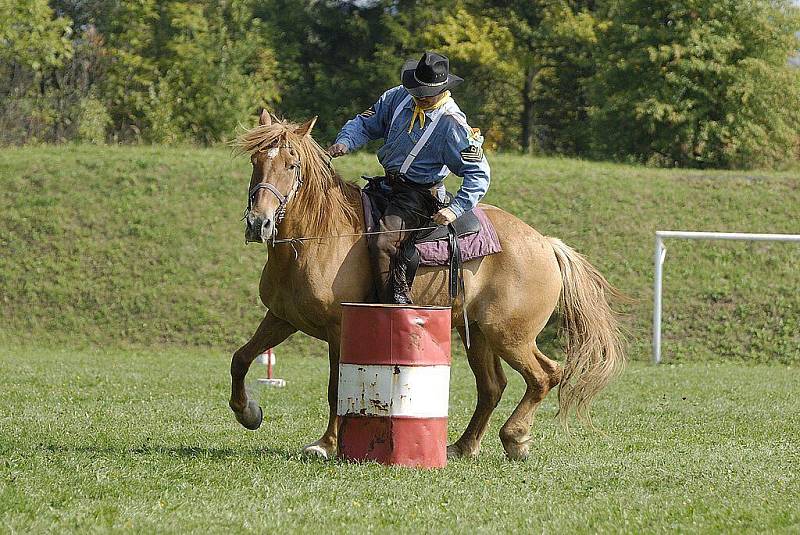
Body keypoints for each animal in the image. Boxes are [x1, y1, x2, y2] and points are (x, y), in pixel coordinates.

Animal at [225, 110, 624, 460]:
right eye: (256, 162)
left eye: (291, 165)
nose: (258, 223)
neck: (318, 238)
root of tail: (546, 244)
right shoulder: (281, 317)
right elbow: (241, 358)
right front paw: (248, 412)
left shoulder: (340, 328)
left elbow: (335, 387)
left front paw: (325, 444)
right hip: (480, 334)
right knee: (493, 387)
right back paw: (463, 446)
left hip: (510, 335)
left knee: (544, 375)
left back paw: (515, 438)